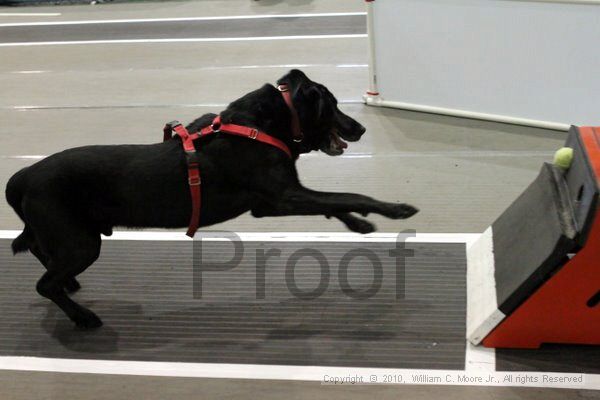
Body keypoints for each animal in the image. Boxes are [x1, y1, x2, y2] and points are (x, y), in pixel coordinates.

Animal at [5, 70, 418, 330]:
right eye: (331, 105)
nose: (359, 128)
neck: (263, 124)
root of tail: (20, 177)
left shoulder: (274, 202)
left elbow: (334, 202)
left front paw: (359, 222)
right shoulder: (282, 197)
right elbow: (344, 195)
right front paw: (395, 209)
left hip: (67, 234)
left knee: (40, 254)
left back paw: (71, 285)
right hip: (80, 241)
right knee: (45, 283)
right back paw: (82, 317)